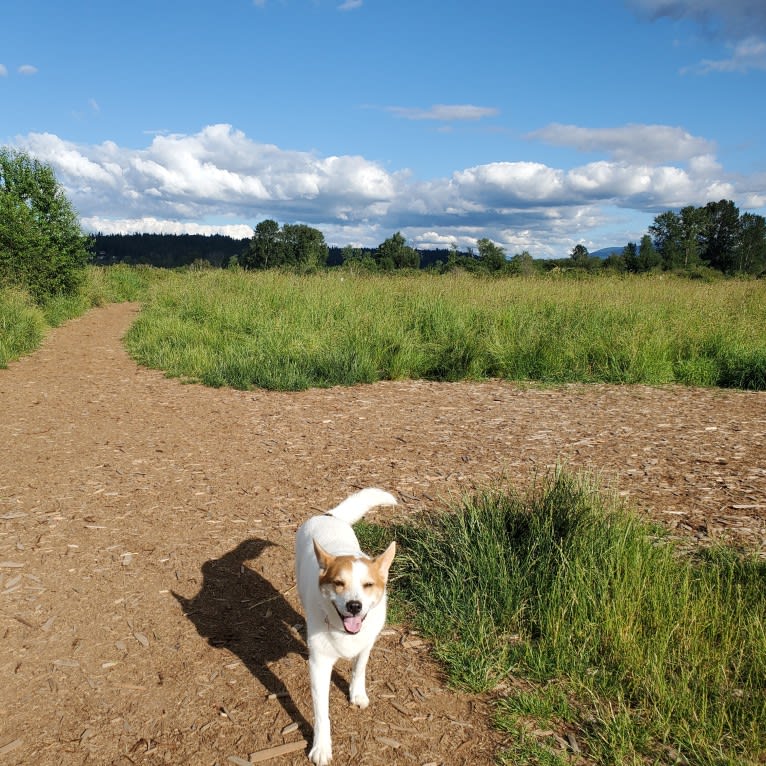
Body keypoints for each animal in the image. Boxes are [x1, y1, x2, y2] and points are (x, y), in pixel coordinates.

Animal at [296, 488, 400, 764]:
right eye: (338, 583)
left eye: (368, 585)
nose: (354, 605)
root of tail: (328, 516)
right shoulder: (319, 666)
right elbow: (322, 713)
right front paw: (321, 747)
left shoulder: (366, 644)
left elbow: (359, 669)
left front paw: (357, 693)